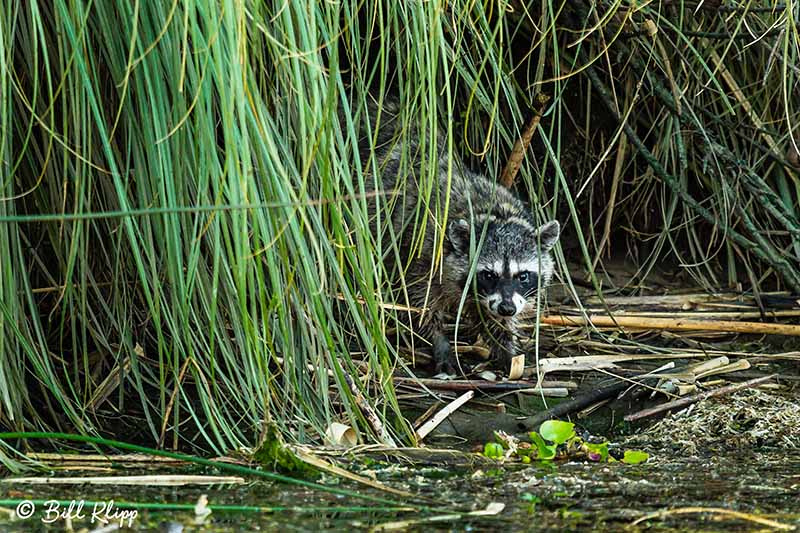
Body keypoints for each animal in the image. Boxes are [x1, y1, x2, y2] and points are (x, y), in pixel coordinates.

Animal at [360, 100, 560, 374]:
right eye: (489, 275)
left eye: (523, 276)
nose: (507, 308)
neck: (493, 215)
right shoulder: (424, 255)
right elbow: (420, 304)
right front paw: (440, 343)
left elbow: (492, 319)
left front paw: (506, 348)